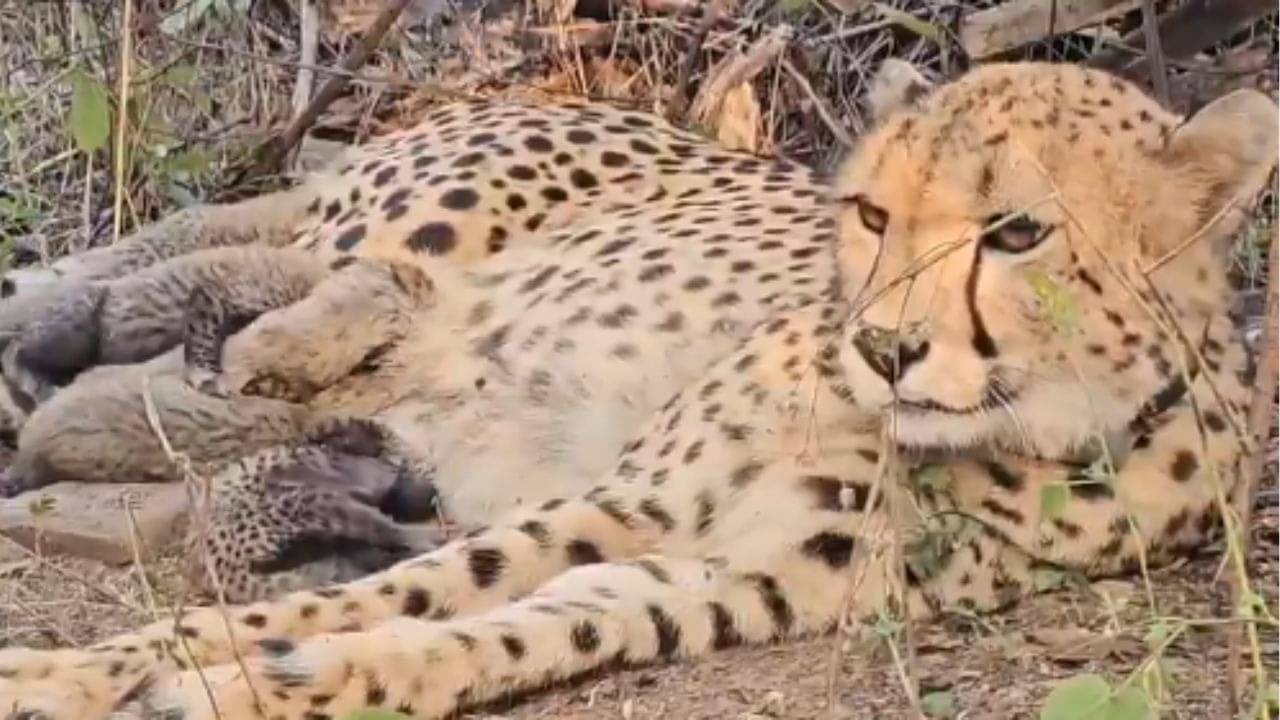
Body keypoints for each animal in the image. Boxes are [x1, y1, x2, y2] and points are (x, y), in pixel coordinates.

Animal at [0, 59, 1274, 720]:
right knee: (313, 269)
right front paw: (74, 672)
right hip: (404, 223)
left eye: (1015, 233)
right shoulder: (631, 502)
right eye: (872, 213)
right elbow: (378, 593)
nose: (880, 348)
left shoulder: (727, 579)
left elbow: (506, 630)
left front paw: (276, 683)